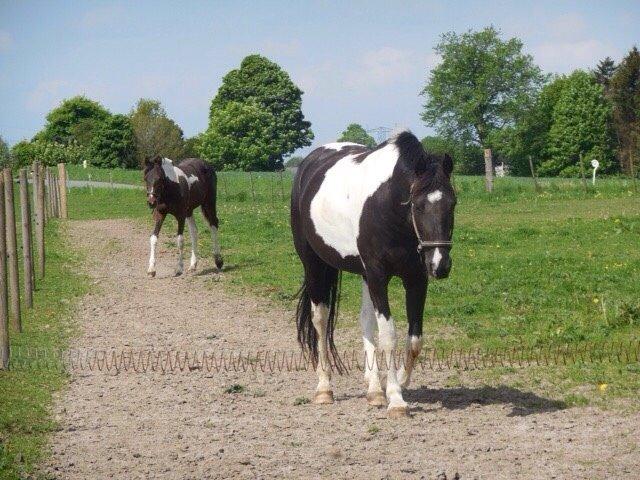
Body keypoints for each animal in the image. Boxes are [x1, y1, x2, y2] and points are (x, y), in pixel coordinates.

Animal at [290, 131, 456, 416]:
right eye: (418, 206)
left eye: (452, 204)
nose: (440, 265)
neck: (387, 204)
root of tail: (308, 166)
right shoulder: (379, 276)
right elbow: (388, 334)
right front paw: (397, 400)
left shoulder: (416, 279)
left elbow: (415, 339)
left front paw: (396, 382)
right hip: (314, 265)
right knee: (320, 319)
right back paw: (324, 388)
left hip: (364, 275)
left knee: (365, 321)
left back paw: (374, 389)